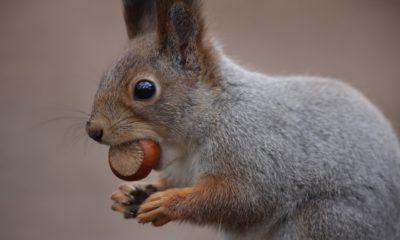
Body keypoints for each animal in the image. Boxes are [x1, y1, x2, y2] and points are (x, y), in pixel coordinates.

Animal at [86, 0, 400, 239]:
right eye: (104, 76)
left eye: (144, 89)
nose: (93, 130)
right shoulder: (183, 171)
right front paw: (131, 195)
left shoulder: (252, 152)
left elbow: (242, 198)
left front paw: (169, 203)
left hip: (327, 219)